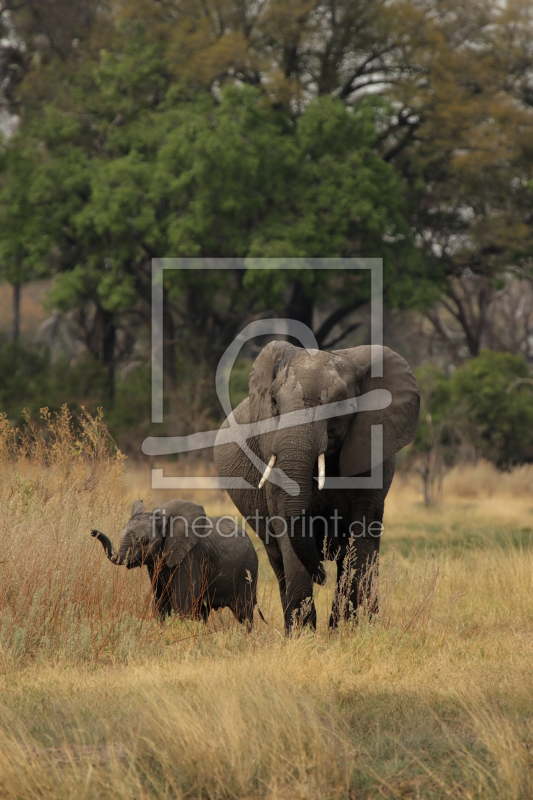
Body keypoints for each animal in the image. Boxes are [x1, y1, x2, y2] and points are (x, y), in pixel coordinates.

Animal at [92, 500, 262, 624]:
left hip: (247, 571)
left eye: (145, 541)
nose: (93, 532)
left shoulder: (191, 557)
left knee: (244, 613)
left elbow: (182, 601)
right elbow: (161, 600)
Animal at [214, 342, 418, 632]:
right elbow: (288, 528)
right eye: (274, 403)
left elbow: (363, 535)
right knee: (277, 558)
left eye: (340, 405)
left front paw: (356, 630)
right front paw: (304, 635)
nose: (321, 573)